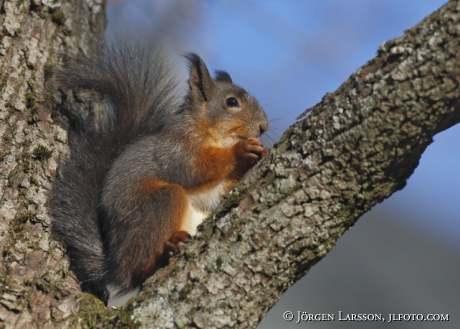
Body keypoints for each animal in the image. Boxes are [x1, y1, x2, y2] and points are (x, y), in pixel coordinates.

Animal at [51, 42, 270, 306]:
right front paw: (241, 150)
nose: (264, 127)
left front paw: (259, 153)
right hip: (159, 208)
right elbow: (193, 169)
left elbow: (217, 194)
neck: (215, 135)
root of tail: (113, 265)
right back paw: (166, 252)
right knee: (138, 270)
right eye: (231, 102)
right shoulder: (177, 148)